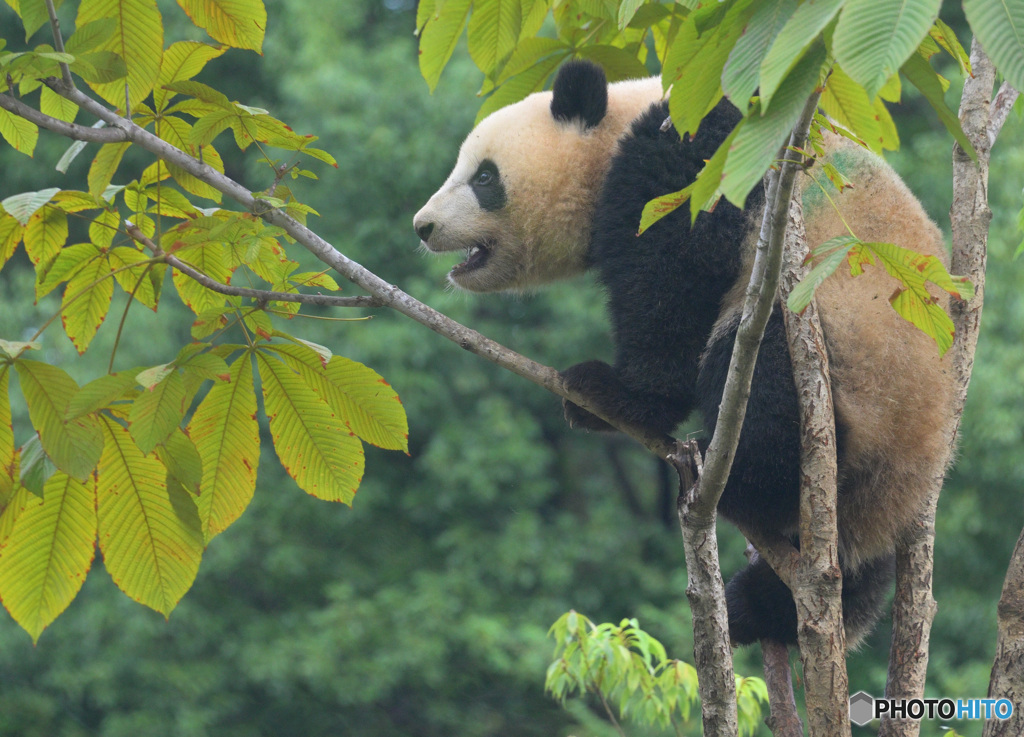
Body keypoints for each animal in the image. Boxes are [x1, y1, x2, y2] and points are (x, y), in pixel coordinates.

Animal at [411, 59, 954, 646]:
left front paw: (610, 394)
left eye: (484, 177)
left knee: (761, 372)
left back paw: (736, 475)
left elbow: (677, 274)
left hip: (851, 367)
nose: (424, 226)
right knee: (853, 572)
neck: (617, 125)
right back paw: (761, 606)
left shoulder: (695, 158)